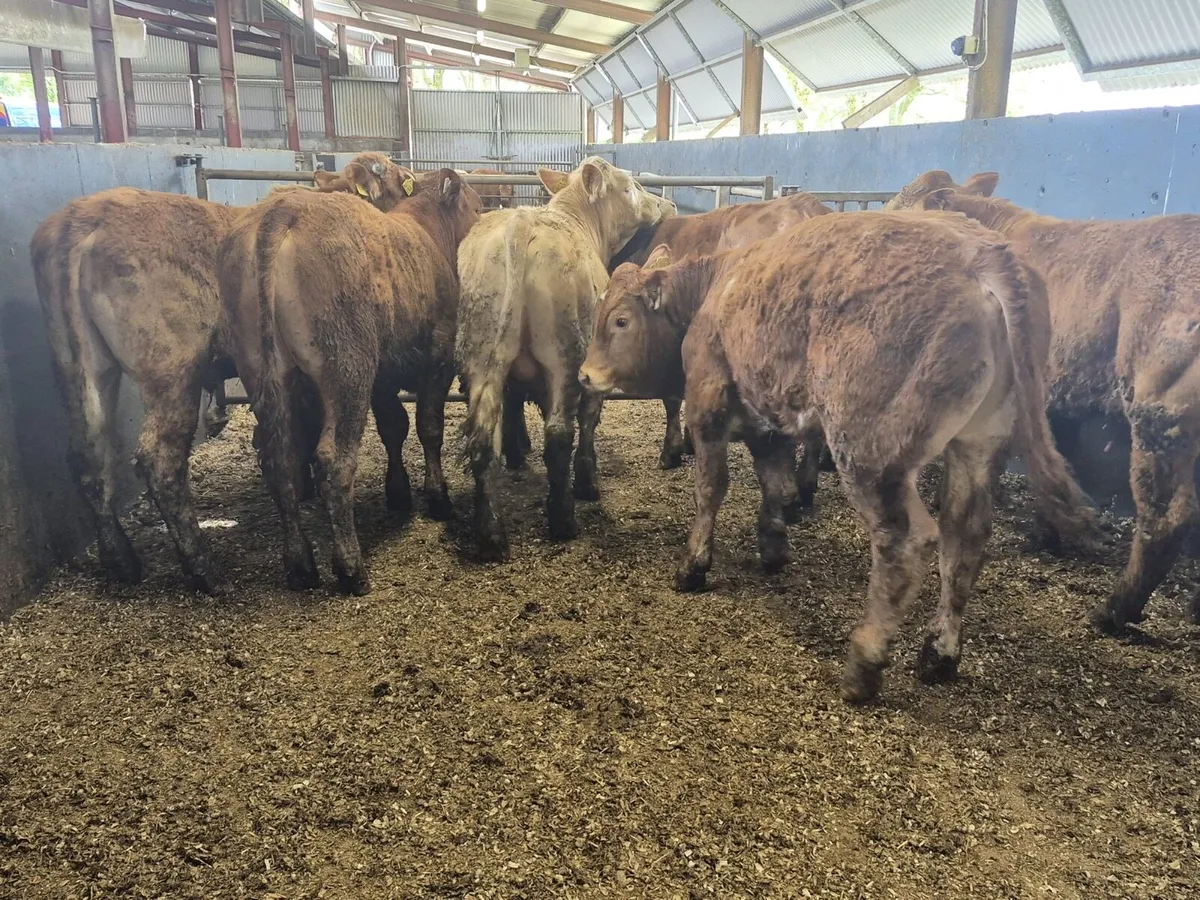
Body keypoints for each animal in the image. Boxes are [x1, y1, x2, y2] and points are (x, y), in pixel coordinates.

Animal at [219, 168, 481, 595]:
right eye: (476, 207)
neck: (428, 234)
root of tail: (284, 211)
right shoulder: (437, 360)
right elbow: (428, 428)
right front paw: (437, 496)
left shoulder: (382, 376)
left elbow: (394, 427)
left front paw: (398, 493)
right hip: (346, 367)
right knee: (333, 459)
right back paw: (351, 567)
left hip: (262, 369)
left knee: (280, 460)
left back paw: (300, 565)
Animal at [457, 157, 675, 561]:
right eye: (629, 187)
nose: (666, 204)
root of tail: (521, 224)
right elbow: (589, 422)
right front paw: (588, 482)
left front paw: (517, 454)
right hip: (564, 354)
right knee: (559, 434)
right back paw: (563, 519)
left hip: (480, 357)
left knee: (482, 442)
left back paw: (491, 535)